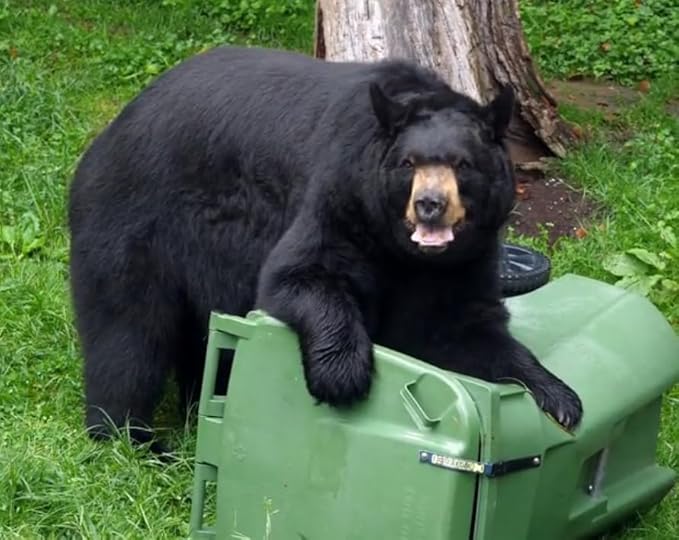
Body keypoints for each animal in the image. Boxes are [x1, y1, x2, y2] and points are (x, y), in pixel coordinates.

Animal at [67, 45, 583, 453]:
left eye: (462, 164)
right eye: (408, 163)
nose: (430, 205)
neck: (408, 254)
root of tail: (109, 132)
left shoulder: (466, 258)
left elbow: (464, 327)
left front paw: (558, 397)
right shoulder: (340, 192)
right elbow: (300, 274)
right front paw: (342, 375)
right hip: (133, 222)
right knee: (128, 334)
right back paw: (134, 440)